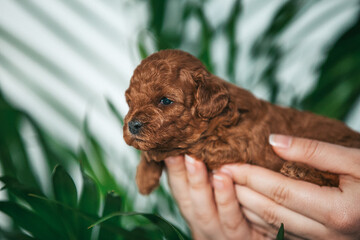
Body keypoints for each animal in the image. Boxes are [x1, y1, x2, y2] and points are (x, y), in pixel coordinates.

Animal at [123, 48, 360, 195]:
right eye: (129, 102)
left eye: (165, 101)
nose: (132, 125)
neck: (220, 115)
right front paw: (144, 177)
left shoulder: (239, 144)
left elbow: (190, 146)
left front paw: (153, 155)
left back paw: (299, 171)